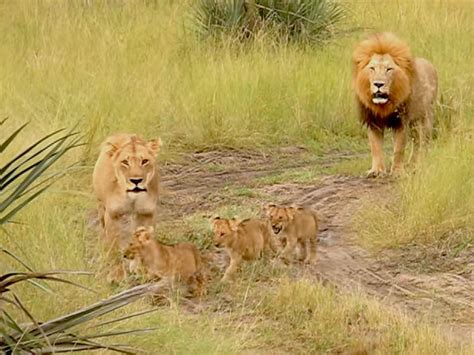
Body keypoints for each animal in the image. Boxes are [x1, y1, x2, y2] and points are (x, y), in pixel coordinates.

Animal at [92, 134, 161, 284]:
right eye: (125, 162)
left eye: (145, 161)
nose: (136, 181)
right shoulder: (113, 214)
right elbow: (114, 247)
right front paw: (116, 276)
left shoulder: (145, 213)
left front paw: (142, 271)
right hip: (101, 207)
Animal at [352, 32, 436, 177]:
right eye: (372, 68)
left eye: (389, 69)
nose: (378, 84)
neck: (384, 105)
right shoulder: (373, 122)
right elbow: (375, 148)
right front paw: (376, 170)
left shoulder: (401, 122)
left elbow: (399, 149)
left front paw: (397, 171)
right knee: (416, 142)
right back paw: (411, 164)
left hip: (425, 119)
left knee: (422, 142)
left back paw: (419, 165)